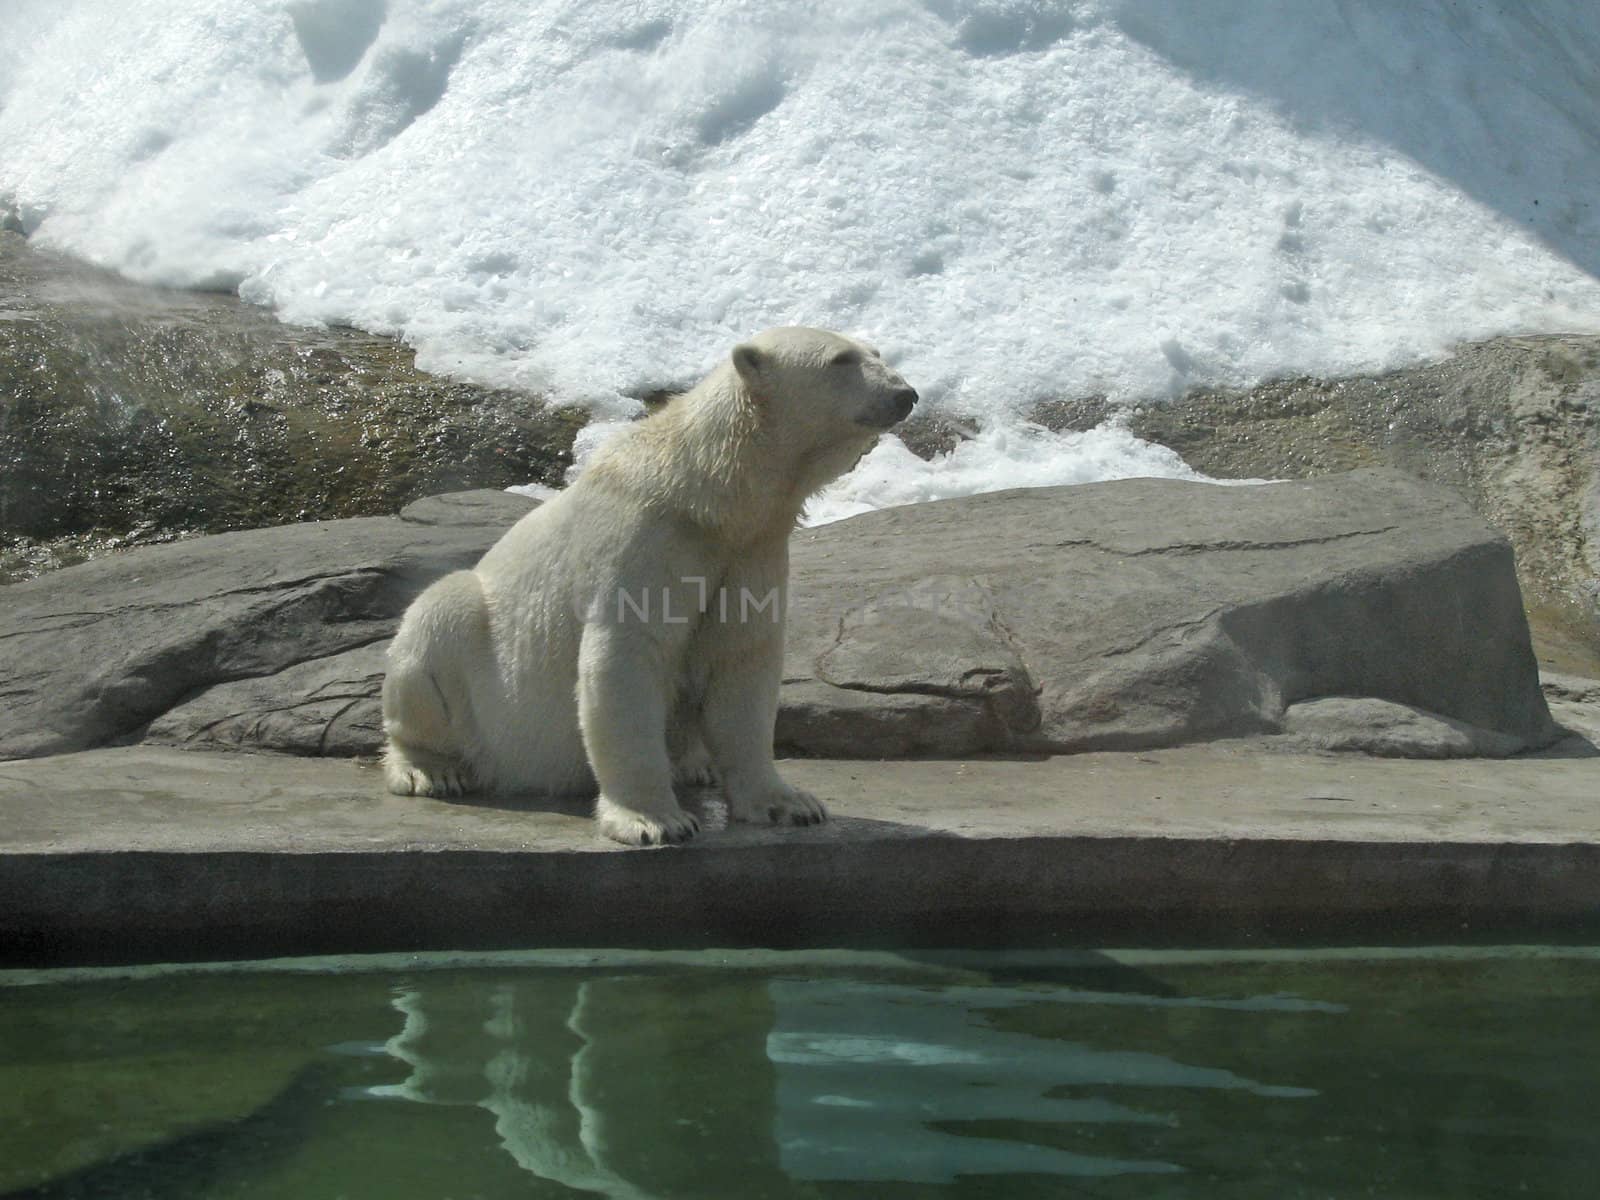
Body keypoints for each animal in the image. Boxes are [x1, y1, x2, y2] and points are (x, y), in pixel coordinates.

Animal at [379, 331, 921, 844]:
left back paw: (695, 764)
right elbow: (626, 661)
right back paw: (431, 769)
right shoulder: (643, 542)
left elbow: (742, 663)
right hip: (477, 680)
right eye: (840, 360)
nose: (906, 394)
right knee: (437, 625)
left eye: (875, 352)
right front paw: (653, 821)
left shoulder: (751, 552)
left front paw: (789, 804)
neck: (706, 495)